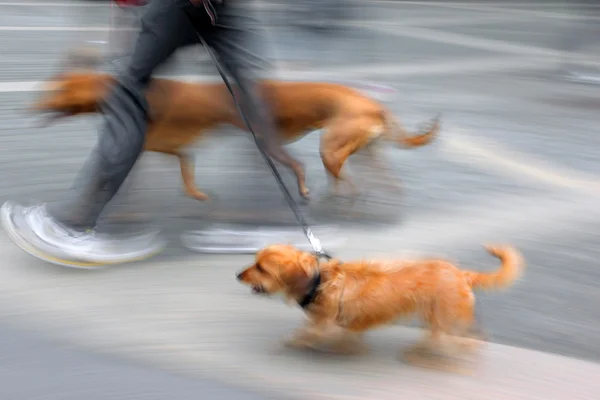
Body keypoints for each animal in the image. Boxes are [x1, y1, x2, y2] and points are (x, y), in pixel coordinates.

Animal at [31, 70, 436, 202]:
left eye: (54, 92)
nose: (31, 108)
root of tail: (375, 105)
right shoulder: (177, 152)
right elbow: (186, 173)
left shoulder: (160, 148)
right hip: (360, 151)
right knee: (374, 180)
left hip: (325, 151)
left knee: (322, 174)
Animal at [237, 242, 524, 364]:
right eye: (255, 261)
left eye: (261, 268)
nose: (238, 275)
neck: (319, 280)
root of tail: (461, 274)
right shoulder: (344, 324)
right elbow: (345, 337)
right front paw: (349, 349)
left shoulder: (325, 324)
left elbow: (307, 334)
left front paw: (292, 343)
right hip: (435, 316)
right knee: (441, 337)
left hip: (446, 316)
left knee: (462, 339)